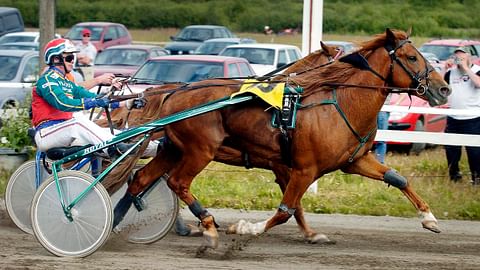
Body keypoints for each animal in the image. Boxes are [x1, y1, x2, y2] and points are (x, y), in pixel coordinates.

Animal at [111, 28, 450, 250]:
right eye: (411, 57)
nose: (443, 88)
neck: (337, 101)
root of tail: (174, 92)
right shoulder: (301, 169)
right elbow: (286, 209)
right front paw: (247, 227)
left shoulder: (354, 160)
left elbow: (398, 178)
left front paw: (429, 218)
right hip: (199, 151)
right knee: (177, 182)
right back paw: (206, 224)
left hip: (173, 149)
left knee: (141, 180)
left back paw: (117, 223)